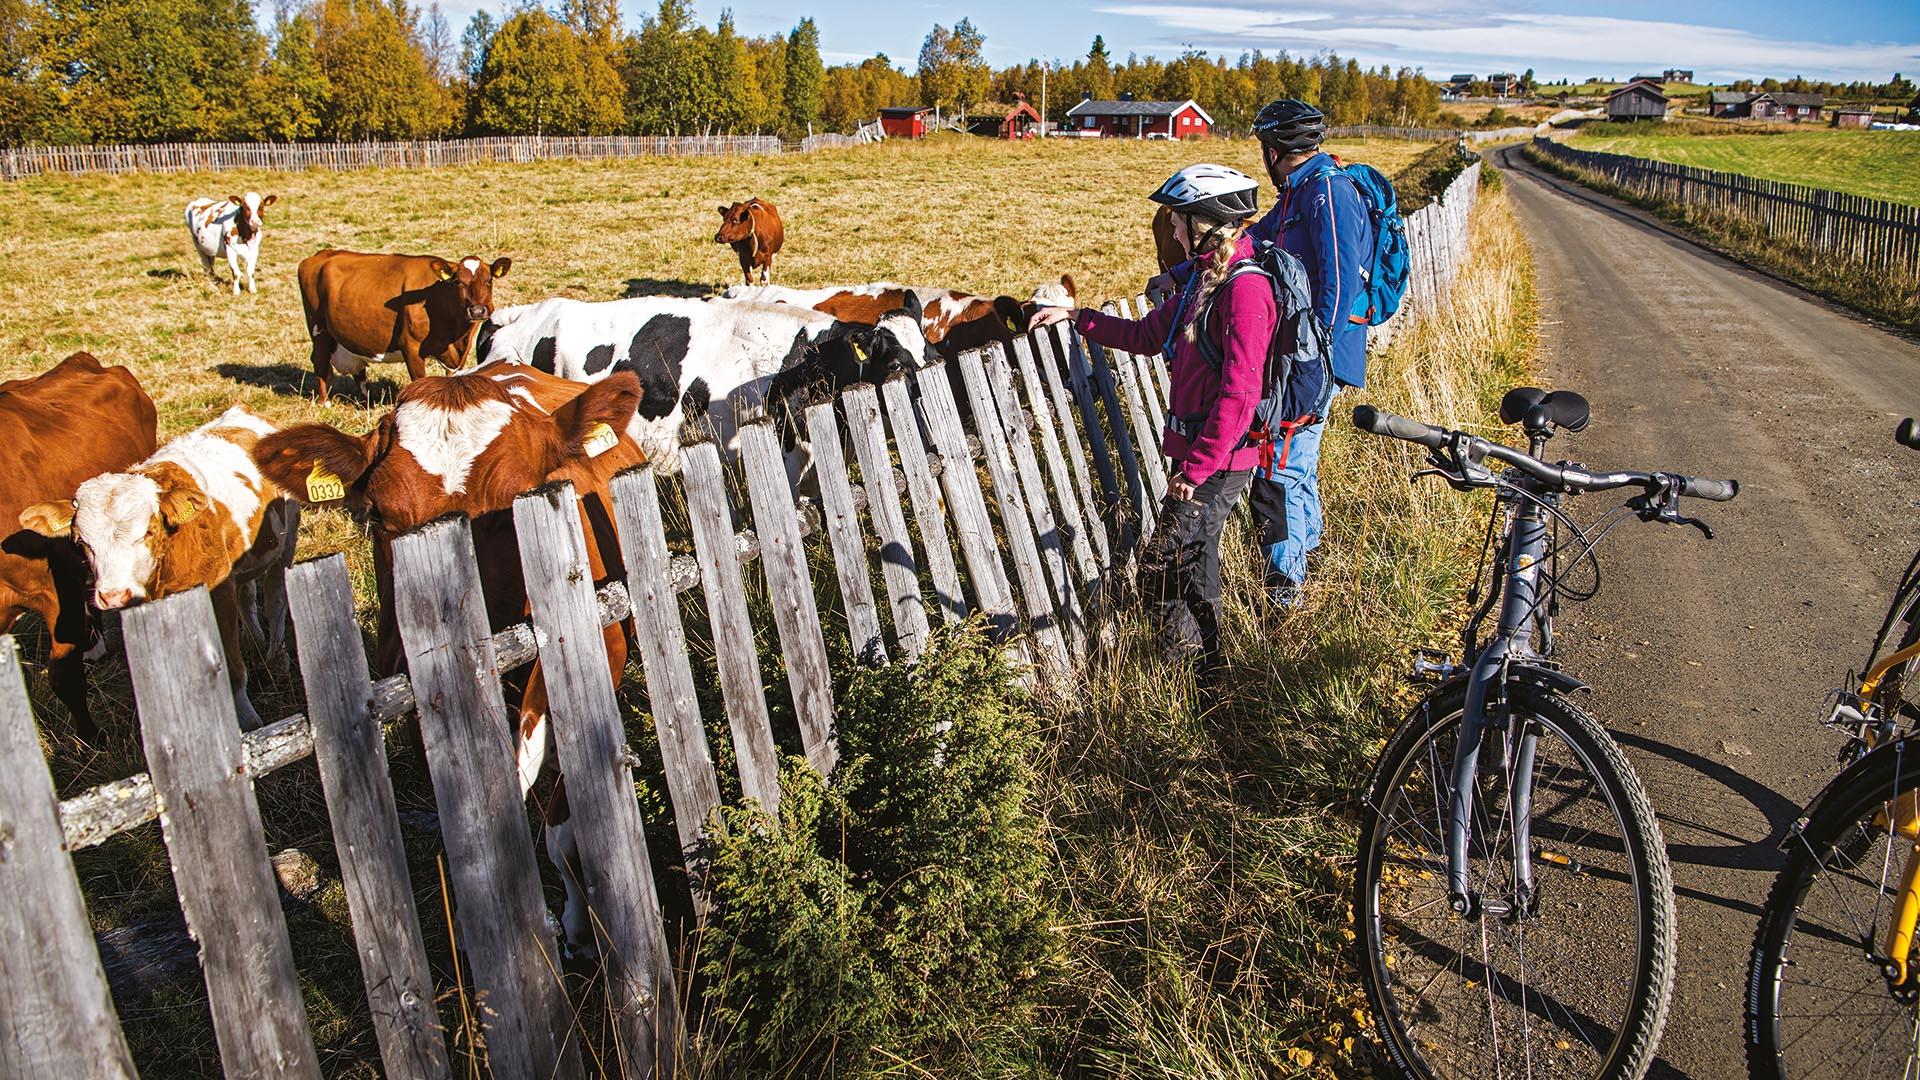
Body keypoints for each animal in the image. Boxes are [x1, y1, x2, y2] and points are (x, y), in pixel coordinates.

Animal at [19, 403, 303, 730]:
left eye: (148, 532)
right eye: (81, 541)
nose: (112, 595)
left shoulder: (219, 591)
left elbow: (233, 669)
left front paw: (247, 719)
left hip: (286, 541)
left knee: (275, 596)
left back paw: (277, 656)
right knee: (247, 593)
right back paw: (254, 639)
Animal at [295, 247, 514, 403]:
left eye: (489, 281)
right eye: (458, 282)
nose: (477, 311)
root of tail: (322, 254)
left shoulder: (459, 353)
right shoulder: (411, 347)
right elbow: (418, 380)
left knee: (358, 370)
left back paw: (366, 401)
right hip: (319, 329)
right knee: (320, 362)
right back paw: (325, 403)